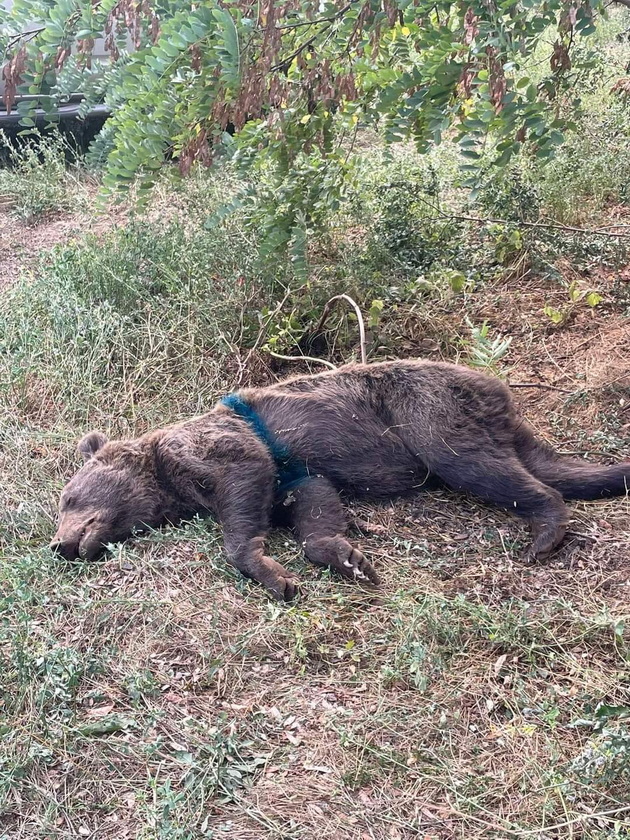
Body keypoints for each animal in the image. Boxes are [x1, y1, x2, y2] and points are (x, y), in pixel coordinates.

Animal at [50, 358, 630, 600]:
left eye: (69, 497)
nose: (59, 544)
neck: (166, 478)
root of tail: (496, 389)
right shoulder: (295, 476)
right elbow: (312, 505)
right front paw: (346, 557)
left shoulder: (222, 453)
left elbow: (244, 488)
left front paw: (272, 573)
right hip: (488, 424)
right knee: (548, 464)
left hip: (426, 410)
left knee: (478, 466)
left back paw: (544, 533)